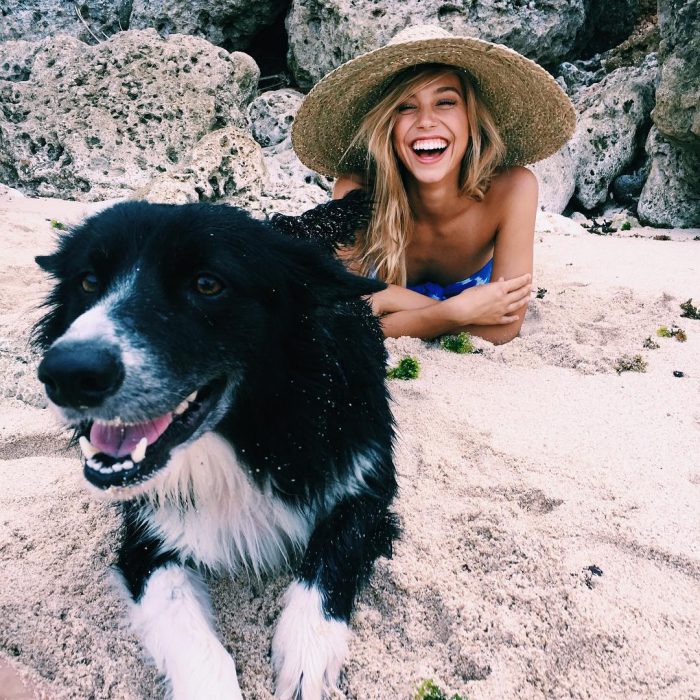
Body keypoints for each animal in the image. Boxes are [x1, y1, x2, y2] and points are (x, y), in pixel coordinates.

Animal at [34, 197, 400, 700]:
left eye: (207, 284)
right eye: (88, 281)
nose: (68, 375)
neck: (243, 442)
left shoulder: (368, 491)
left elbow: (333, 556)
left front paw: (305, 656)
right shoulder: (144, 537)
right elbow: (191, 637)